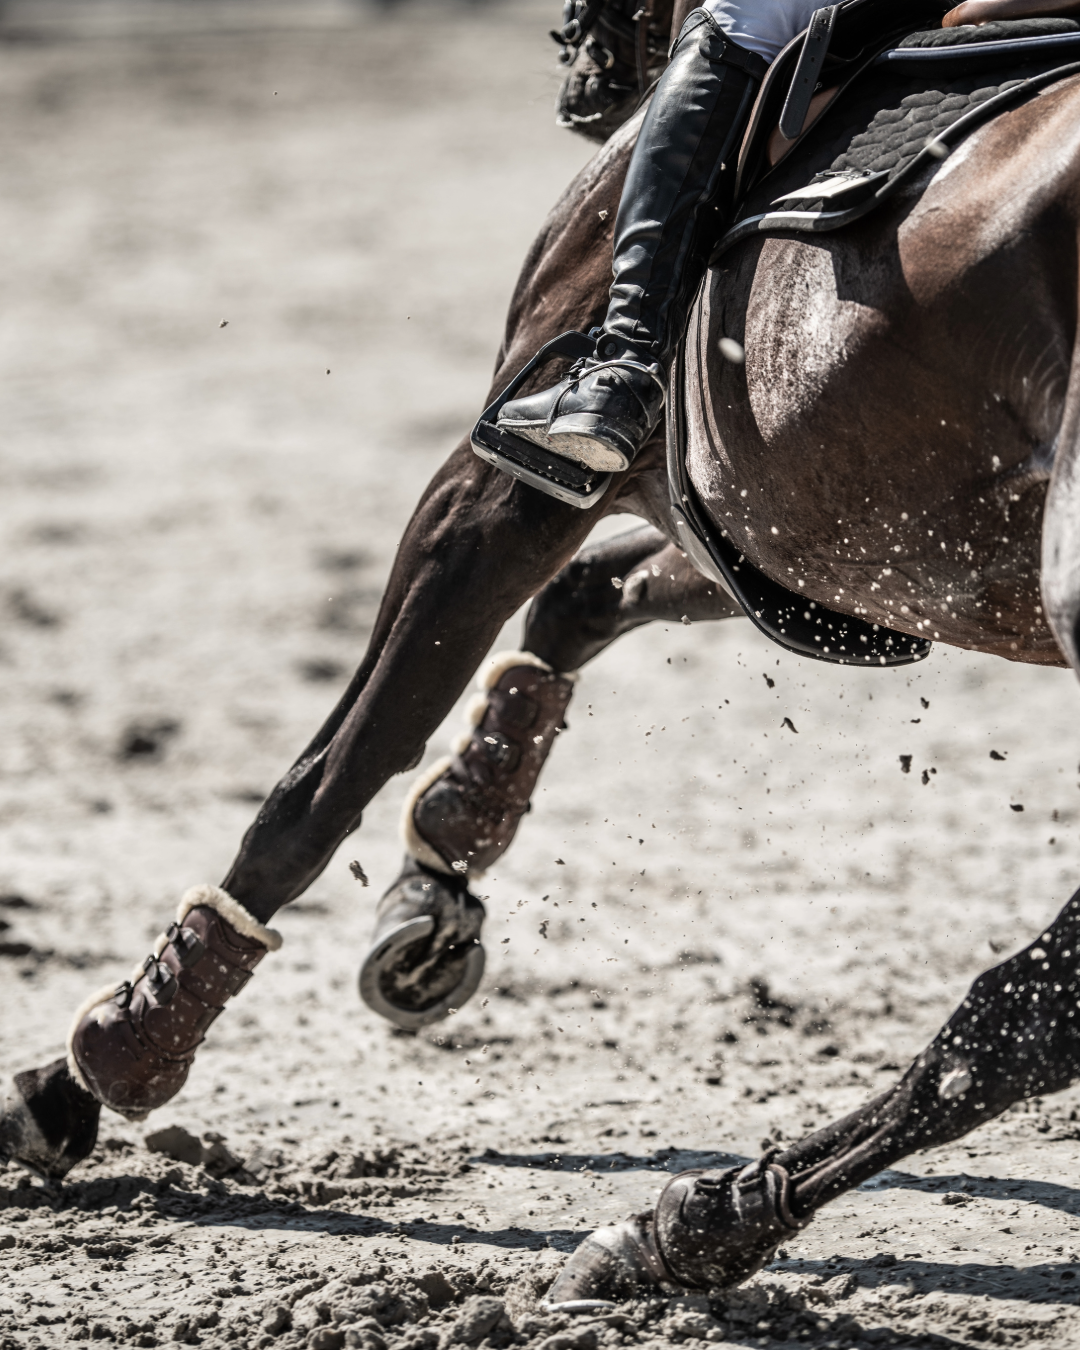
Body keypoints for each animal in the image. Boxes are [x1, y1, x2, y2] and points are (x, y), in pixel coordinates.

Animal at [8, 0, 1080, 1303]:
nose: (578, 69)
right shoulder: (809, 536)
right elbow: (583, 601)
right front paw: (440, 869)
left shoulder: (505, 485)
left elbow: (326, 781)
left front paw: (107, 1061)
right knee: (1027, 1019)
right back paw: (707, 1224)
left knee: (1029, 1011)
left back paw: (691, 1223)